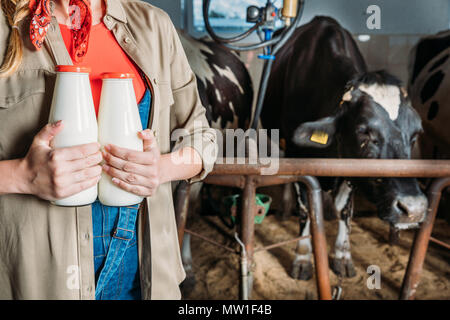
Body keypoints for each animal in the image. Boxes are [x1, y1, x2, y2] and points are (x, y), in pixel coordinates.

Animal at [258, 16, 428, 278]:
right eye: (364, 131)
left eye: (415, 134)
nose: (414, 208)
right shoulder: (298, 155)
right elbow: (306, 210)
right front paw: (302, 257)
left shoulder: (351, 170)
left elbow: (345, 211)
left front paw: (342, 255)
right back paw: (285, 209)